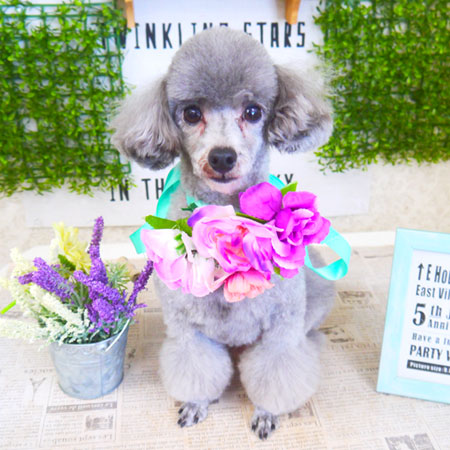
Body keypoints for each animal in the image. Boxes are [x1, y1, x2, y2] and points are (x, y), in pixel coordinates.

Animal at [112, 27, 334, 440]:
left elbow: (278, 373)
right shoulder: (185, 328)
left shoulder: (281, 328)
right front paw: (196, 403)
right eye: (191, 113)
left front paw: (266, 412)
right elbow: (195, 367)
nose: (222, 156)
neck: (225, 218)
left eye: (253, 112)